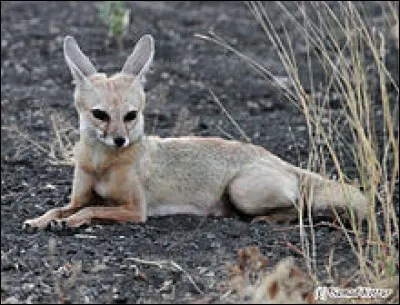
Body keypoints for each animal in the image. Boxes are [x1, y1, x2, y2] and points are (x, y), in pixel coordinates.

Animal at [23, 33, 368, 230]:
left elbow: (93, 208)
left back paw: (268, 219)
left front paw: (69, 222)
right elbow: (60, 206)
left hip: (242, 191)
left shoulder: (136, 209)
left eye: (131, 116)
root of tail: (278, 160)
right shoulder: (80, 195)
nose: (120, 139)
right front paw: (41, 220)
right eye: (100, 115)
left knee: (300, 207)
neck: (100, 164)